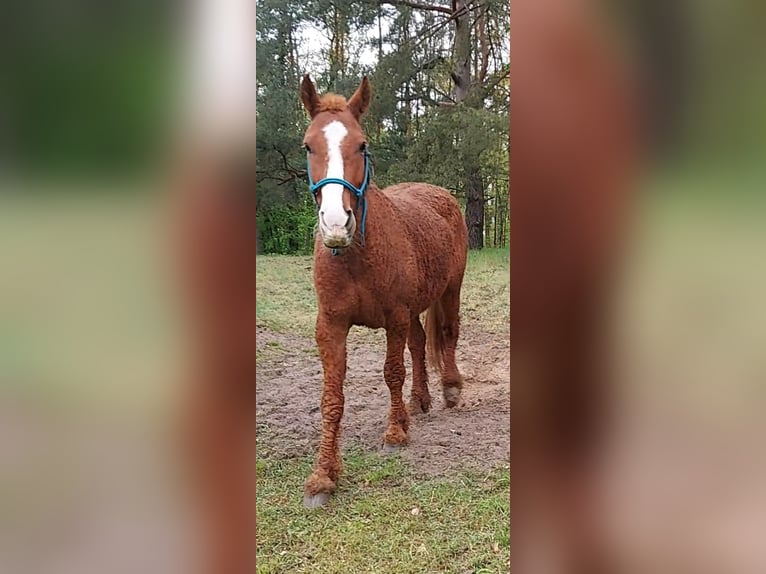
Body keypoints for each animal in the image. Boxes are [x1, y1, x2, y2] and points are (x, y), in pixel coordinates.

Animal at [298, 74, 469, 508]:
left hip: (450, 289)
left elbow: (393, 372)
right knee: (419, 344)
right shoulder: (331, 326)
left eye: (362, 145)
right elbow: (332, 397)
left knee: (447, 334)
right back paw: (419, 401)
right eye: (308, 145)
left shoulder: (394, 317)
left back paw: (450, 388)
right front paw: (323, 476)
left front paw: (394, 433)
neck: (357, 253)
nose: (335, 223)